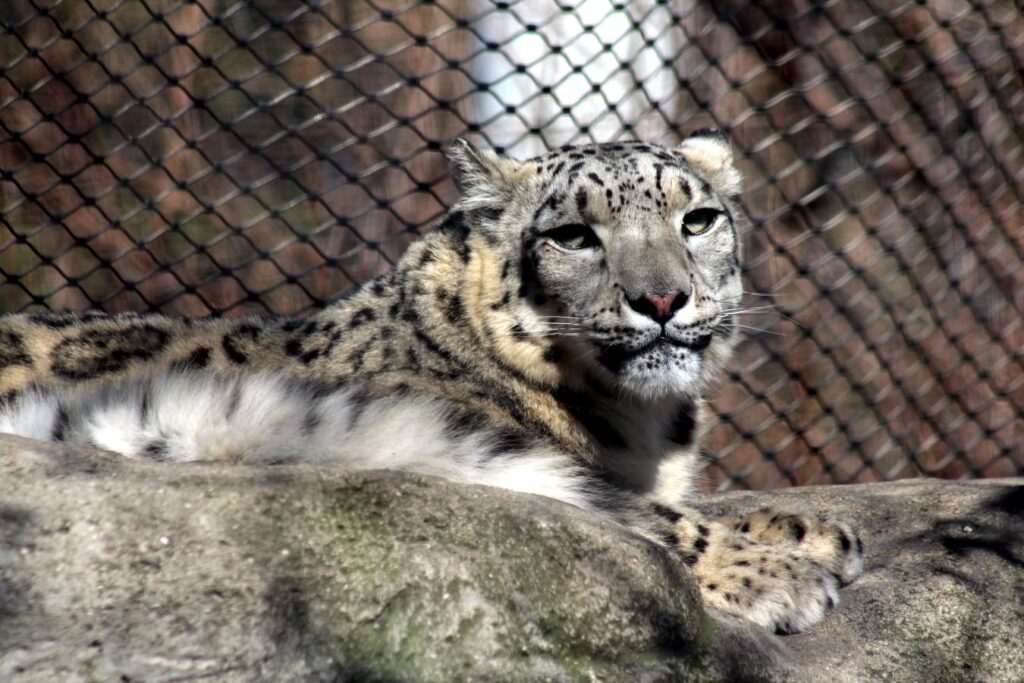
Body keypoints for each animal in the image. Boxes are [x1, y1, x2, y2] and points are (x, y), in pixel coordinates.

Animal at [0, 132, 863, 634]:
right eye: (573, 234)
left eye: (698, 219)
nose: (661, 299)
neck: (645, 429)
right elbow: (648, 516)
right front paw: (784, 571)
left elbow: (689, 504)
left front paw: (813, 529)